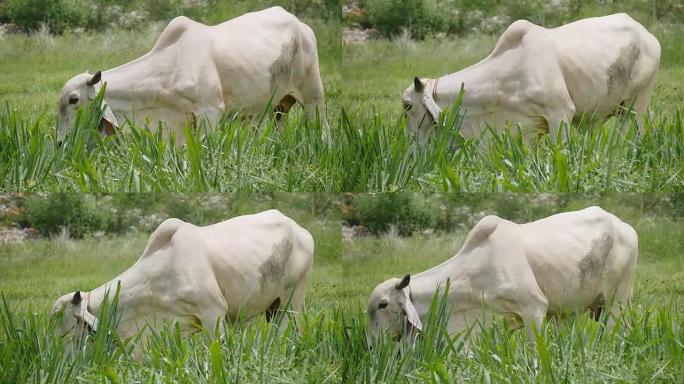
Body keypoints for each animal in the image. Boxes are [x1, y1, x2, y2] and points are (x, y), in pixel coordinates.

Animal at [57, 7, 324, 146]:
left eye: (73, 100)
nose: (59, 143)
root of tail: (300, 24)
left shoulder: (211, 112)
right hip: (278, 107)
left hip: (313, 97)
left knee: (321, 128)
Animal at [366, 207, 640, 344]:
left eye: (383, 304)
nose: (370, 345)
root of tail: (625, 226)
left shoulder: (535, 308)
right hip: (595, 306)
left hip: (618, 300)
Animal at [404, 13, 660, 143]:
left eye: (407, 105)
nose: (409, 140)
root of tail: (646, 33)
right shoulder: (527, 127)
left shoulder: (560, 114)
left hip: (637, 104)